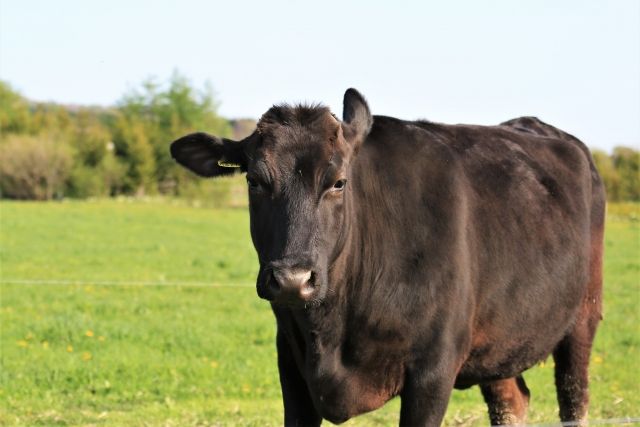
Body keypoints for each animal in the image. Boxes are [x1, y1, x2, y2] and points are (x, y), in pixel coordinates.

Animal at [170, 88, 604, 426]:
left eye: (338, 182)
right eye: (254, 180)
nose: (293, 279)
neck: (334, 328)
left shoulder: (433, 370)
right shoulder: (292, 365)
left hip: (583, 317)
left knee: (574, 398)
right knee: (510, 399)